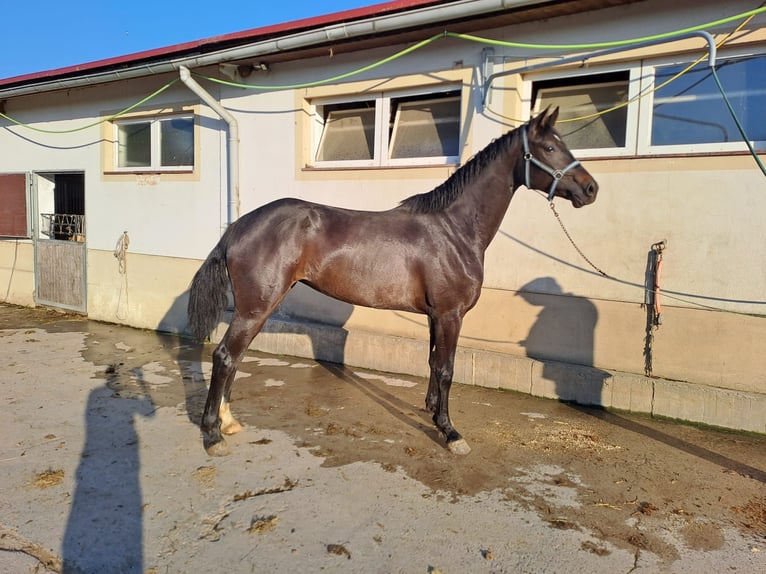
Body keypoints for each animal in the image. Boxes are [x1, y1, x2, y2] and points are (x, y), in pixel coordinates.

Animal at [187, 106, 598, 457]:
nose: (590, 188)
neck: (454, 230)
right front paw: (451, 432)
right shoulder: (450, 314)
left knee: (236, 356)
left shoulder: (436, 316)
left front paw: (431, 412)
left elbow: (433, 363)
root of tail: (241, 225)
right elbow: (447, 369)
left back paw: (229, 421)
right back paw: (212, 434)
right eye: (549, 147)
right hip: (256, 306)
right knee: (225, 356)